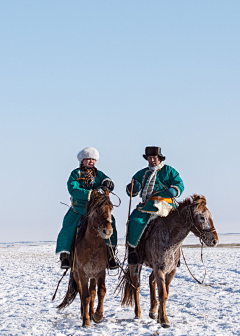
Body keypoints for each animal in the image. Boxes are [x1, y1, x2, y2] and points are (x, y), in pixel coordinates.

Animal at [58, 189, 114, 328]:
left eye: (111, 207)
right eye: (97, 210)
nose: (108, 231)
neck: (92, 244)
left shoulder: (100, 272)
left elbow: (101, 292)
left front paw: (98, 316)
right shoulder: (82, 274)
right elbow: (84, 296)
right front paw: (86, 321)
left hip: (92, 276)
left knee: (92, 293)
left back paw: (91, 312)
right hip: (77, 275)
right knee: (82, 293)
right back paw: (84, 313)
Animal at [121, 194, 218, 328]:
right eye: (202, 217)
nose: (215, 241)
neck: (170, 238)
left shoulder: (170, 270)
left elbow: (165, 293)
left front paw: (160, 317)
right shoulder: (160, 269)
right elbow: (163, 294)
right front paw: (164, 320)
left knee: (151, 280)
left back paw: (153, 311)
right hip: (135, 264)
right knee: (136, 286)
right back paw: (138, 313)